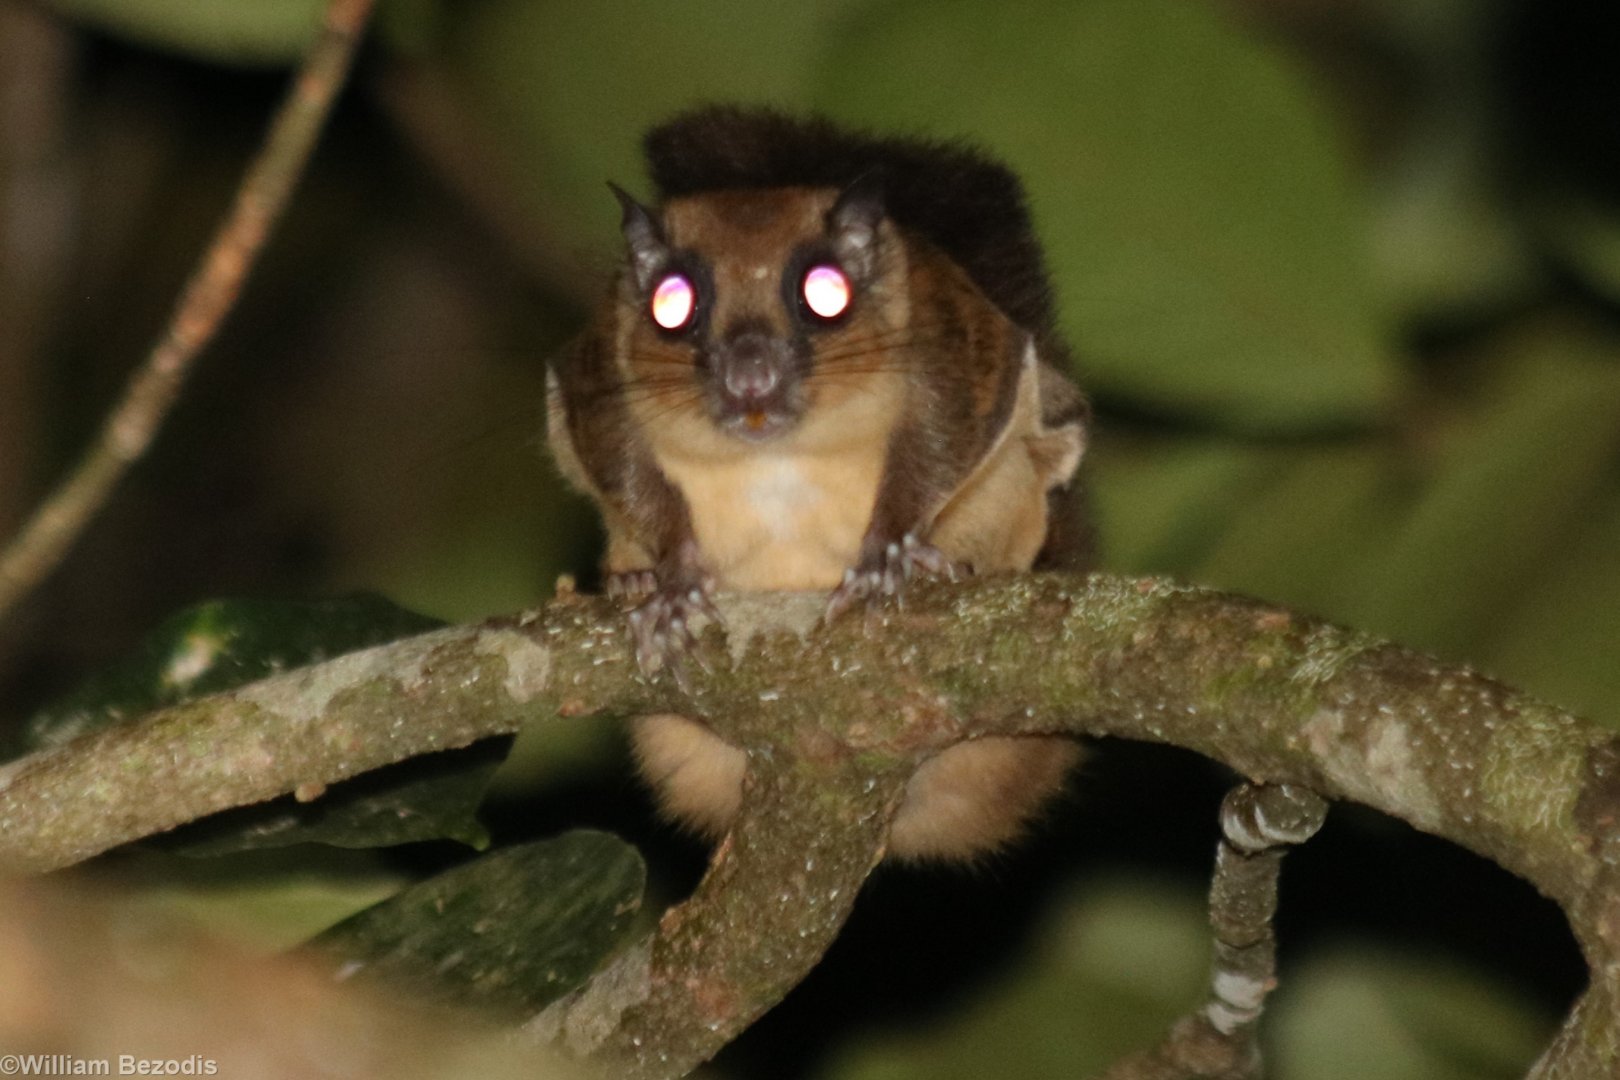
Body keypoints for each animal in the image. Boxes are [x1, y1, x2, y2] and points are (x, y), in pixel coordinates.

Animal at [546, 106, 1092, 861]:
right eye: (671, 306)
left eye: (826, 294)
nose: (749, 373)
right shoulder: (595, 371)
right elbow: (618, 457)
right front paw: (671, 588)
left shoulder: (956, 340)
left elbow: (945, 434)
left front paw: (888, 557)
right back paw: (630, 579)